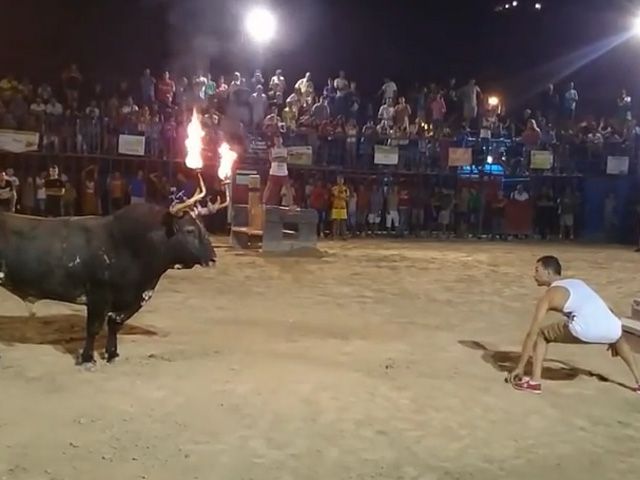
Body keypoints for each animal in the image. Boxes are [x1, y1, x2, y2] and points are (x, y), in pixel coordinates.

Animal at [0, 203, 215, 368]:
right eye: (189, 230)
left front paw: (112, 354)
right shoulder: (97, 294)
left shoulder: (127, 298)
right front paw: (87, 360)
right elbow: (94, 328)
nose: (213, 258)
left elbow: (114, 324)